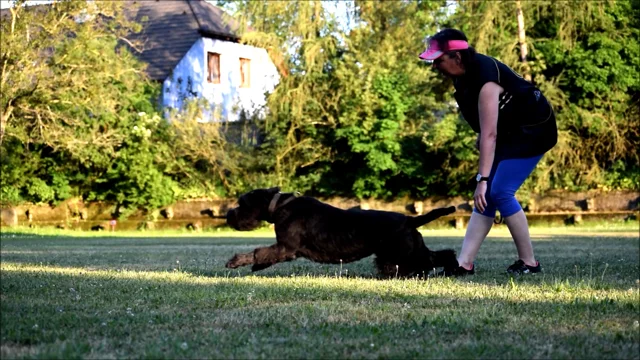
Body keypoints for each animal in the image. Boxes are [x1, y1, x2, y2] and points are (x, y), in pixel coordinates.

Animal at [225, 187, 460, 278]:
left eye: (242, 204)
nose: (228, 215)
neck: (280, 207)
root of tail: (410, 220)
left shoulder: (286, 247)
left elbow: (259, 252)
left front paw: (235, 261)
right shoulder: (285, 249)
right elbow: (265, 255)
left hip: (404, 253)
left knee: (433, 259)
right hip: (401, 253)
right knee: (441, 255)